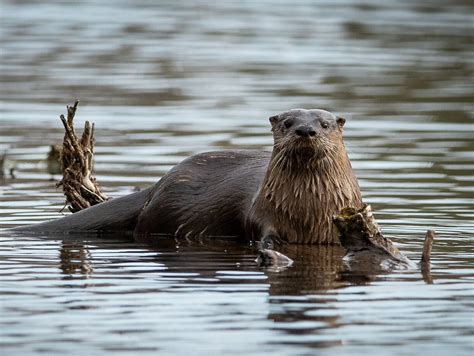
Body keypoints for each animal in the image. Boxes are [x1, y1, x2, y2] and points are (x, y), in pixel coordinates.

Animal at [13, 108, 362, 245]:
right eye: (288, 123)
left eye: (324, 123)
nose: (306, 130)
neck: (307, 211)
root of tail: (155, 187)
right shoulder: (263, 214)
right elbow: (263, 236)